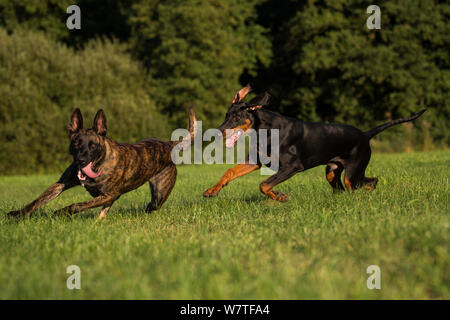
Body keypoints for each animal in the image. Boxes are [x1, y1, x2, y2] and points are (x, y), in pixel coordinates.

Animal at [5, 109, 195, 219]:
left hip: (159, 194)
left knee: (151, 205)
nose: (81, 160)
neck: (99, 163)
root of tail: (168, 144)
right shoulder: (61, 184)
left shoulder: (108, 194)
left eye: (93, 145)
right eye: (76, 143)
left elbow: (78, 205)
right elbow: (37, 200)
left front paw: (61, 212)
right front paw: (17, 214)